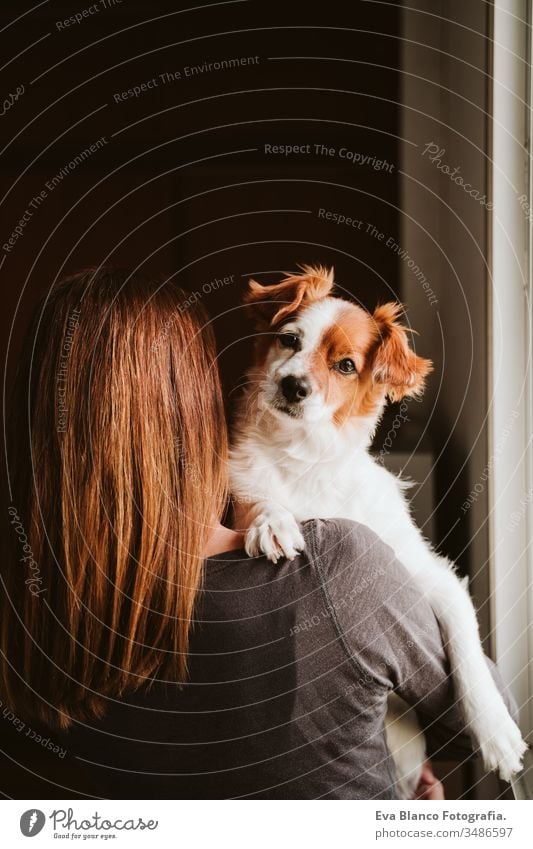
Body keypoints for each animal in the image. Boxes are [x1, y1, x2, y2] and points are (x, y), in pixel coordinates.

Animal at [230, 264, 528, 796]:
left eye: (346, 365)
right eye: (288, 339)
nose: (293, 386)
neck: (307, 459)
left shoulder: (432, 577)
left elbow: (468, 650)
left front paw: (496, 731)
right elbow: (257, 501)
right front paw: (272, 520)